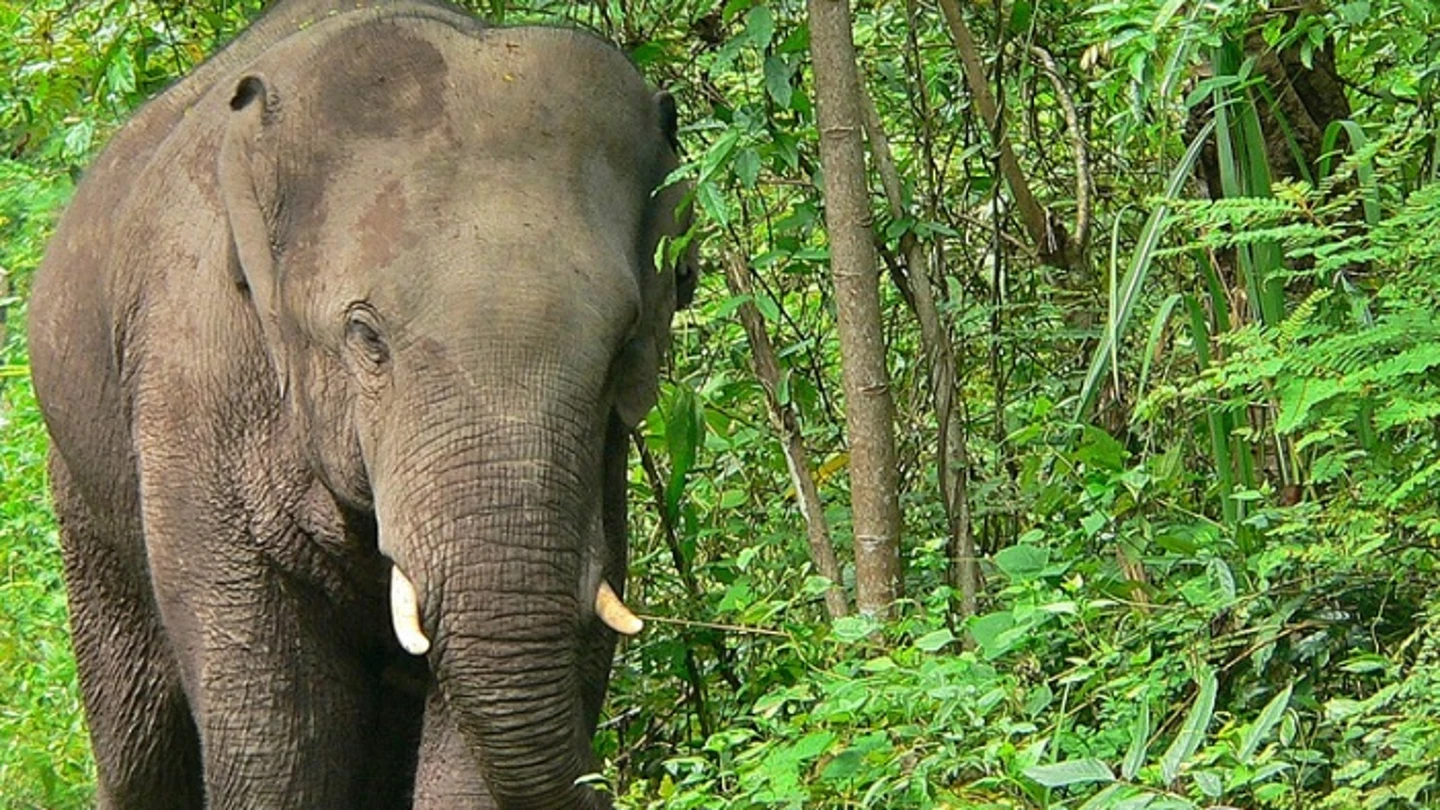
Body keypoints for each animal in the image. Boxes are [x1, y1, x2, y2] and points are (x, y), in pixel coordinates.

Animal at [26, 0, 696, 807]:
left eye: (622, 346)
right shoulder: (189, 377)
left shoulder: (601, 465)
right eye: (366, 336)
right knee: (139, 739)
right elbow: (277, 737)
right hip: (85, 493)